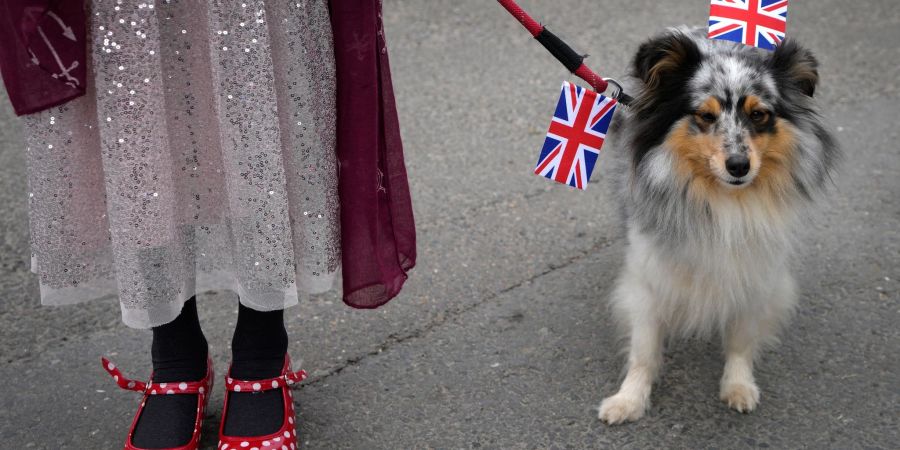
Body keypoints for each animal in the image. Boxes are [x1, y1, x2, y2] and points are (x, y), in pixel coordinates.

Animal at [596, 29, 840, 426]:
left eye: (759, 114)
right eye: (705, 116)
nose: (739, 166)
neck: (723, 200)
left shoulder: (756, 270)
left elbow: (741, 338)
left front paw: (738, 386)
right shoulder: (649, 275)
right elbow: (644, 347)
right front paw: (628, 400)